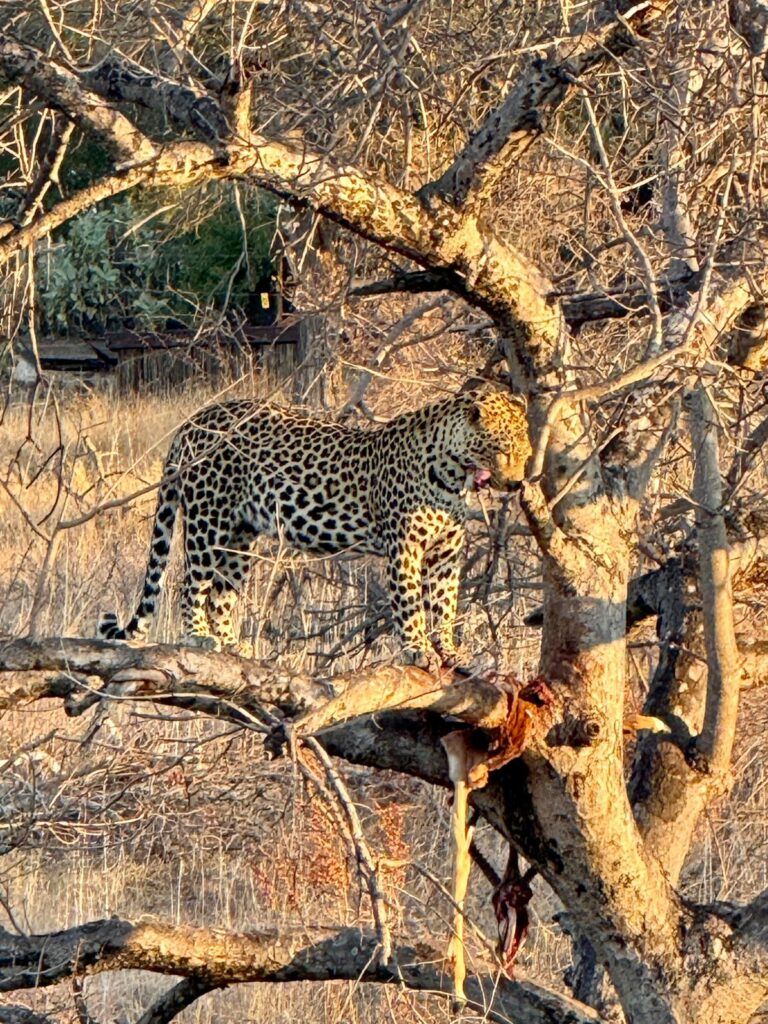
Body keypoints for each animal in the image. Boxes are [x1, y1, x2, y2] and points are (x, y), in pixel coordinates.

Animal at [98, 386, 530, 669]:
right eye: (503, 449)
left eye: (526, 452)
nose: (517, 484)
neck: (454, 474)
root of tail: (192, 422)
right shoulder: (404, 548)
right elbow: (410, 603)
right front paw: (417, 649)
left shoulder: (445, 552)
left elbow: (445, 603)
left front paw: (450, 650)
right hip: (208, 521)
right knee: (190, 583)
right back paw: (198, 635)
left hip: (240, 536)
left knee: (221, 593)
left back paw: (233, 646)